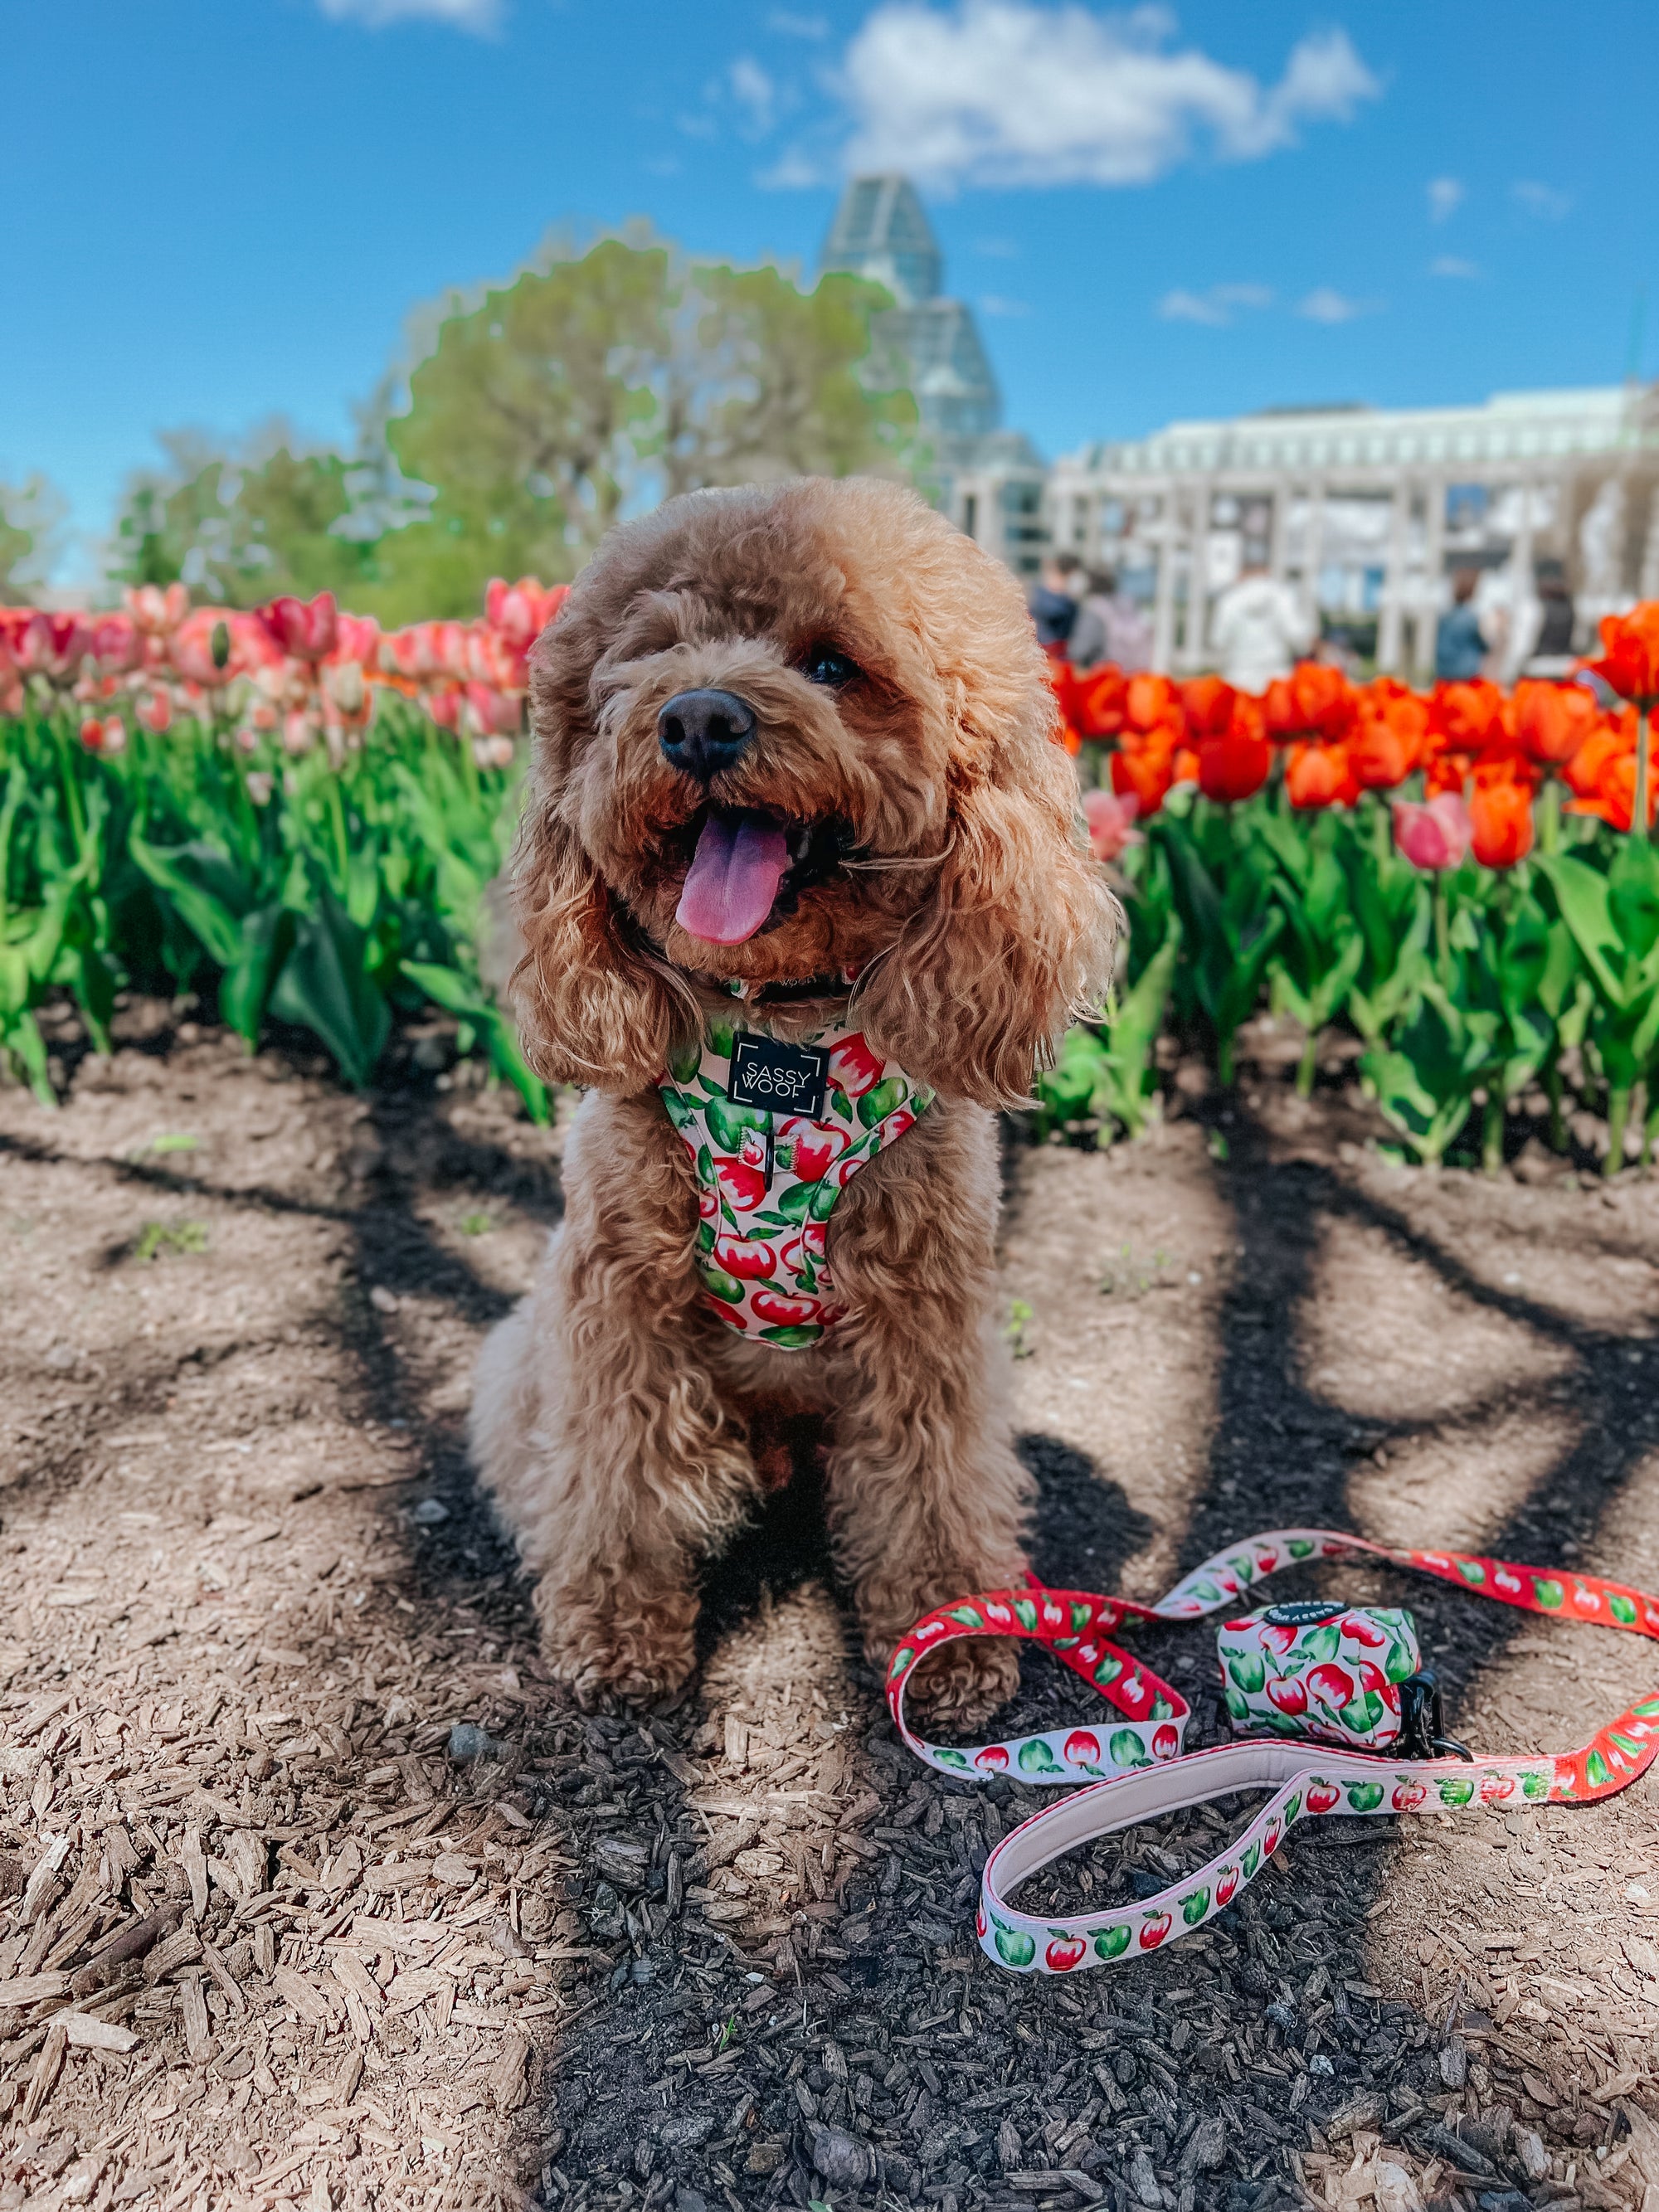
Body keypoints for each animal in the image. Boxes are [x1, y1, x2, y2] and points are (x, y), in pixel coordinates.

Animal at [471, 475, 1119, 1716]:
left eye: (831, 664)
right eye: (653, 658)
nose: (698, 719)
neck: (777, 1043)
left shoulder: (923, 1309)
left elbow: (929, 1476)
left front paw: (945, 1636)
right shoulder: (619, 1292)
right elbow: (616, 1471)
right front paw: (617, 1630)